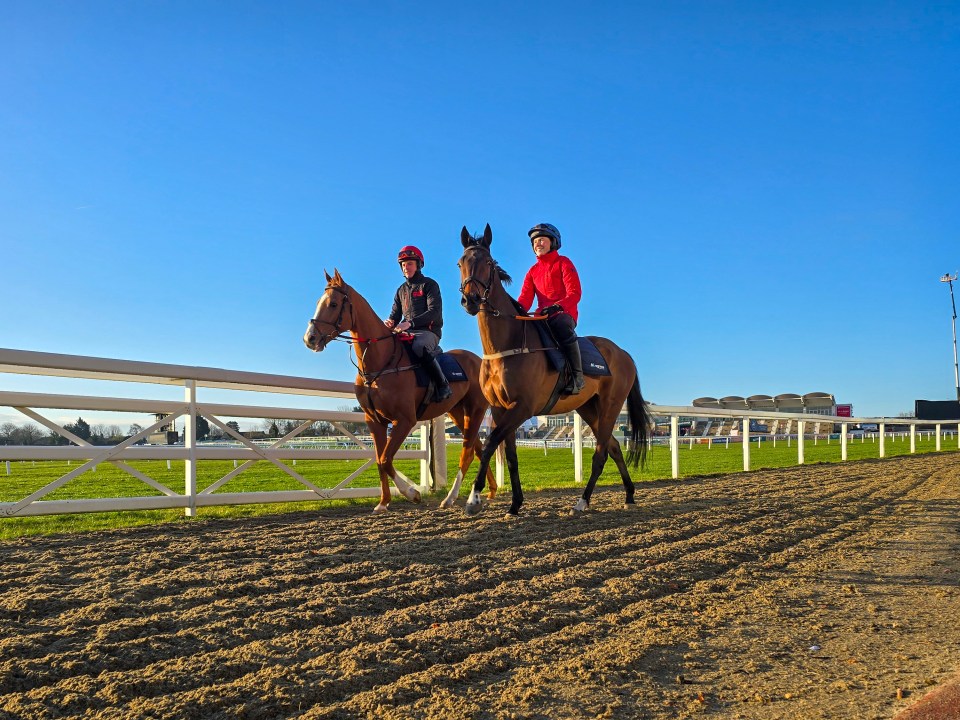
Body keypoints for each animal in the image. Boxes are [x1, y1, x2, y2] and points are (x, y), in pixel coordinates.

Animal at [302, 268, 496, 512]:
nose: (310, 338)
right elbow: (379, 460)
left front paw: (412, 493)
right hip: (457, 412)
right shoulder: (374, 421)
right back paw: (488, 491)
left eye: (334, 304)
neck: (381, 363)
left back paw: (452, 497)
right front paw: (384, 502)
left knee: (468, 452)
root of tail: (480, 361)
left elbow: (386, 460)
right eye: (319, 302)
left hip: (475, 410)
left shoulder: (404, 420)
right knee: (478, 449)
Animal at [458, 226, 652, 516]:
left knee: (601, 452)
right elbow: (511, 456)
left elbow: (491, 442)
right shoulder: (501, 408)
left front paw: (474, 498)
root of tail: (623, 353)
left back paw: (582, 501)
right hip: (588, 407)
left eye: (489, 263)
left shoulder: (523, 407)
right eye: (461, 263)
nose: (470, 300)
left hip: (610, 405)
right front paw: (515, 504)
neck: (508, 345)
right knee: (615, 447)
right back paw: (628, 494)